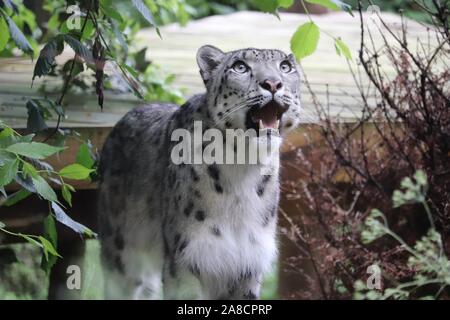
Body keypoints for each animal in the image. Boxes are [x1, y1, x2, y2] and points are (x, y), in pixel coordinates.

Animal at [98, 45, 302, 300]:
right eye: (240, 67)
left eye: (285, 66)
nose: (273, 83)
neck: (244, 170)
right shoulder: (188, 258)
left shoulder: (248, 261)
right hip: (121, 251)